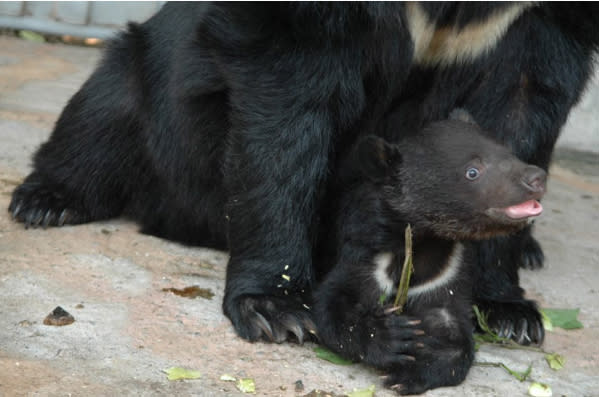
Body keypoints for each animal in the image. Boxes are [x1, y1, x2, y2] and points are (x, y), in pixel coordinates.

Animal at [8, 4, 599, 346]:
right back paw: (47, 200)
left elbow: (524, 99)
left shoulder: (537, 19)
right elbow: (286, 91)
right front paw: (278, 309)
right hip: (150, 90)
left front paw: (508, 311)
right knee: (103, 111)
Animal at [314, 117, 548, 392]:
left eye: (509, 153)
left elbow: (452, 331)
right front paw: (393, 337)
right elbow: (332, 305)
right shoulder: (364, 253)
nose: (537, 178)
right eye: (472, 171)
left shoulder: (446, 274)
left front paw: (409, 373)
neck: (425, 241)